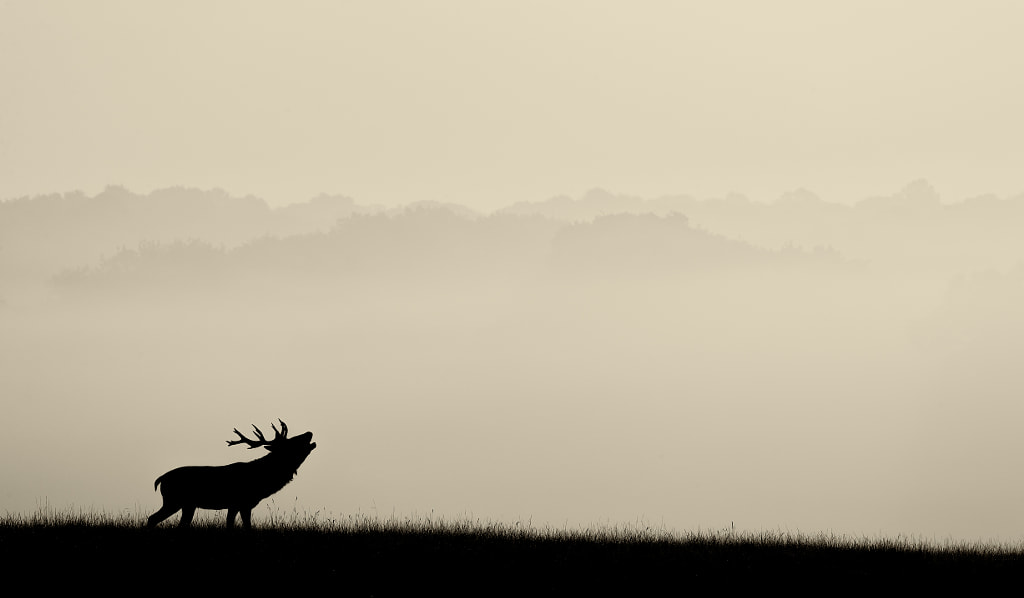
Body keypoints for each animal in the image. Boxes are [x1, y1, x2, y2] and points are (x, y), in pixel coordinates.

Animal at [147, 419, 315, 528]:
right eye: (291, 443)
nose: (309, 432)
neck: (262, 480)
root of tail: (160, 479)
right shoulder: (240, 503)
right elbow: (243, 527)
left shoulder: (239, 505)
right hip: (173, 500)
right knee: (152, 518)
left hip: (187, 505)